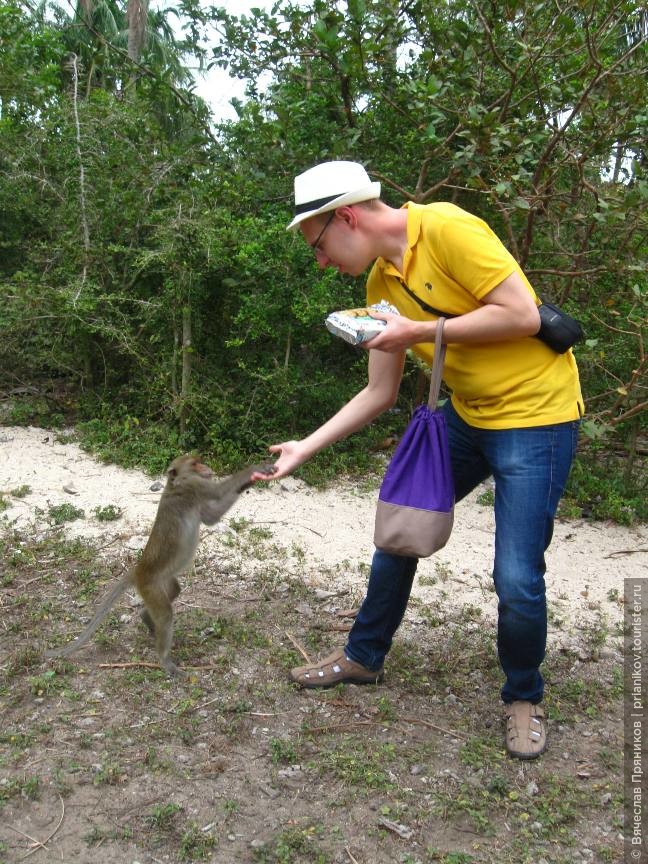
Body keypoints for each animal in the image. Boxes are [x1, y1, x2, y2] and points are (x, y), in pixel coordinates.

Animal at [45, 452, 276, 676]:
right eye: (195, 463)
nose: (206, 468)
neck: (174, 484)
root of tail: (137, 570)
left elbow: (211, 518)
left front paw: (253, 479)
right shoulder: (194, 486)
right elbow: (218, 492)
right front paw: (256, 469)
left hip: (163, 581)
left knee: (173, 592)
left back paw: (146, 618)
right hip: (150, 587)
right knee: (165, 614)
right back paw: (164, 660)